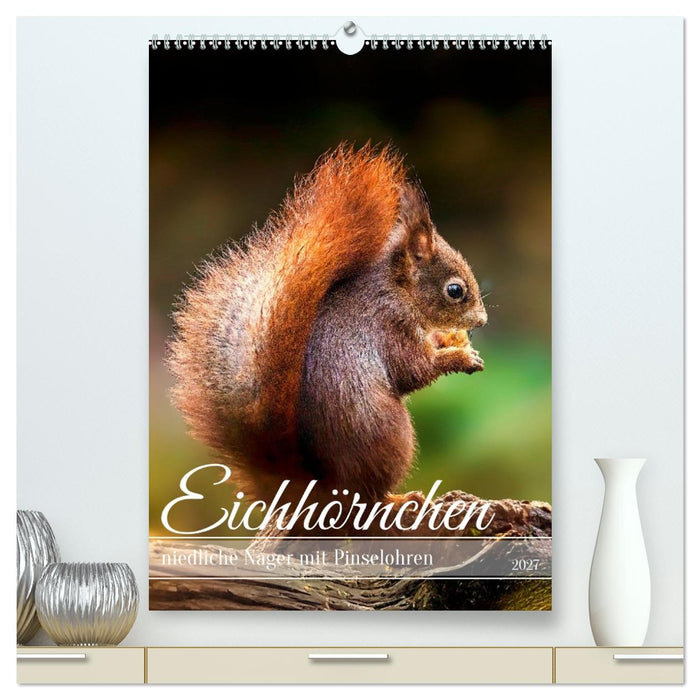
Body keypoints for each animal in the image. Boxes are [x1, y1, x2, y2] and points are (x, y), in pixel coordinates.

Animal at [168, 143, 487, 509]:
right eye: (455, 290)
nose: (482, 320)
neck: (398, 289)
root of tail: (321, 487)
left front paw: (450, 340)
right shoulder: (388, 324)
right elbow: (413, 369)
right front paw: (460, 357)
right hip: (392, 436)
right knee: (366, 496)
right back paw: (398, 499)